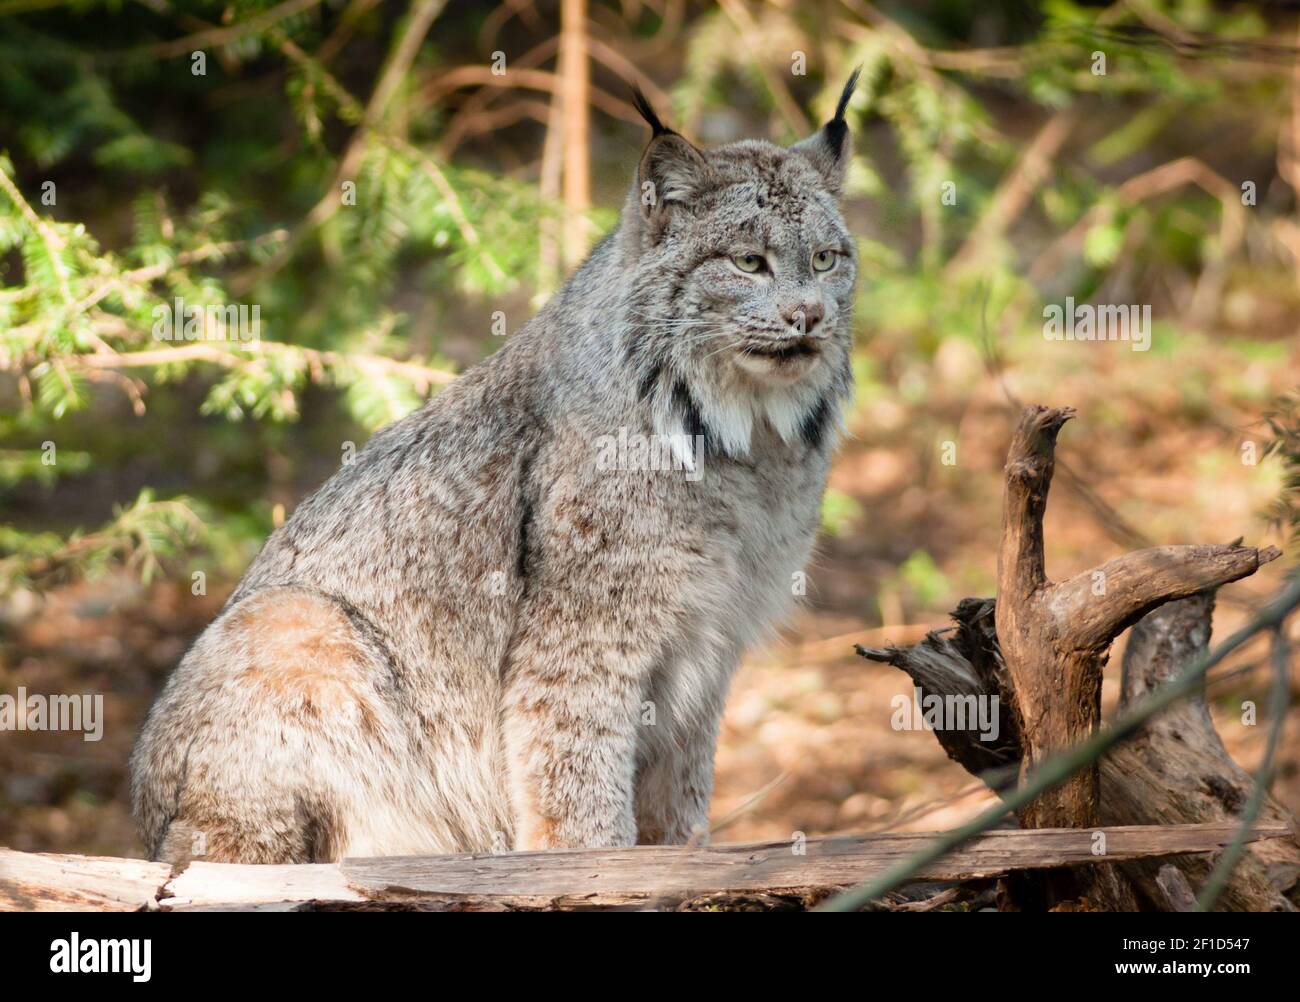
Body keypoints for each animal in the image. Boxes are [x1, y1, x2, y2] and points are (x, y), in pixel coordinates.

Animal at [131, 74, 863, 868]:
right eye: (748, 263)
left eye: (827, 260)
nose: (808, 316)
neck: (744, 440)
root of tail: (145, 830)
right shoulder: (583, 644)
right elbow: (578, 790)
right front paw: (590, 872)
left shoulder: (713, 641)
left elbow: (682, 793)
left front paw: (682, 861)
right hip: (293, 617)